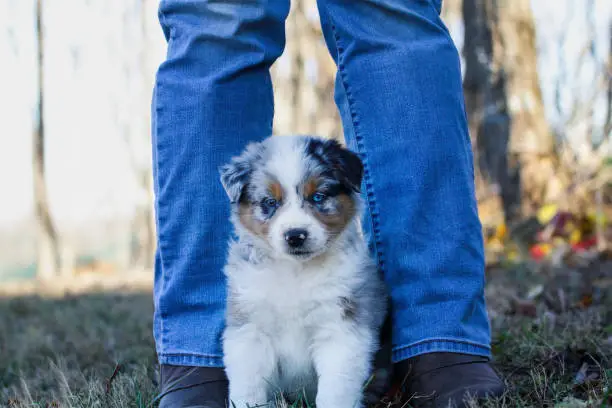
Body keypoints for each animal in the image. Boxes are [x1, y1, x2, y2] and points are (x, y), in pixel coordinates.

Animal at [220, 136, 388, 408]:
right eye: (270, 202)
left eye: (318, 197)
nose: (295, 235)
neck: (296, 271)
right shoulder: (250, 329)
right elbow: (249, 385)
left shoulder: (341, 328)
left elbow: (336, 388)